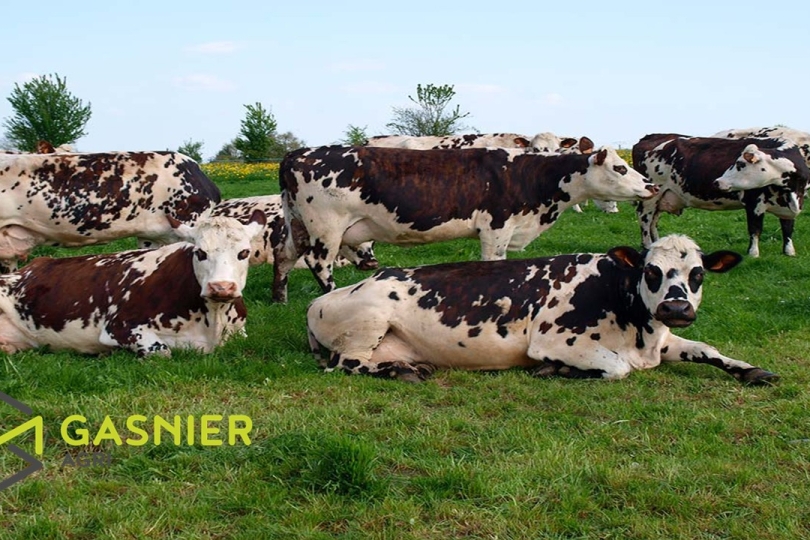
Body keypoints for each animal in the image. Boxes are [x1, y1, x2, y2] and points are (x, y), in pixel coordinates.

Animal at [0, 211, 266, 357]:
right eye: (200, 252)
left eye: (244, 252)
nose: (221, 287)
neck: (214, 319)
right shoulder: (120, 327)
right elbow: (162, 352)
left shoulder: (240, 331)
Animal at [272, 144, 657, 302]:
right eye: (620, 167)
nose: (651, 186)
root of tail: (297, 154)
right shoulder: (496, 228)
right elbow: (493, 265)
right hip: (326, 227)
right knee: (318, 263)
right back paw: (330, 295)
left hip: (298, 225)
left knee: (284, 256)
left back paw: (280, 300)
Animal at [306, 234, 777, 385]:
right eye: (651, 271)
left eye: (697, 274)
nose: (676, 306)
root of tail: (321, 299)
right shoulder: (555, 340)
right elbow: (616, 367)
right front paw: (559, 370)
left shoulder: (664, 339)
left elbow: (707, 348)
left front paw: (752, 370)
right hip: (368, 322)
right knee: (347, 364)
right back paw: (400, 372)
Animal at [633, 134, 809, 257]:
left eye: (740, 164)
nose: (718, 182)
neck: (791, 191)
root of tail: (652, 136)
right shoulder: (754, 203)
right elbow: (755, 229)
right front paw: (753, 253)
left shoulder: (789, 208)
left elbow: (788, 229)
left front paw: (789, 251)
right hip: (651, 196)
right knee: (645, 219)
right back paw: (647, 246)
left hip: (661, 199)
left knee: (654, 221)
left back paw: (657, 244)